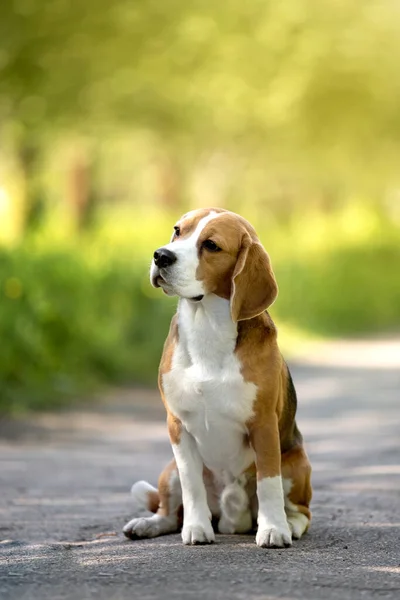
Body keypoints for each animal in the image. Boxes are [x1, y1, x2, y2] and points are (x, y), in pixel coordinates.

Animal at [123, 207, 310, 548]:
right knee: (169, 512)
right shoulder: (177, 425)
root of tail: (231, 520)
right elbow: (191, 483)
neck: (206, 327)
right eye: (178, 231)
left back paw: (289, 524)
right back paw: (148, 524)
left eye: (211, 245)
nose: (160, 256)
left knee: (302, 511)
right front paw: (196, 528)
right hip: (169, 469)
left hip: (297, 462)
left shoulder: (264, 426)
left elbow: (268, 482)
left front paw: (273, 529)